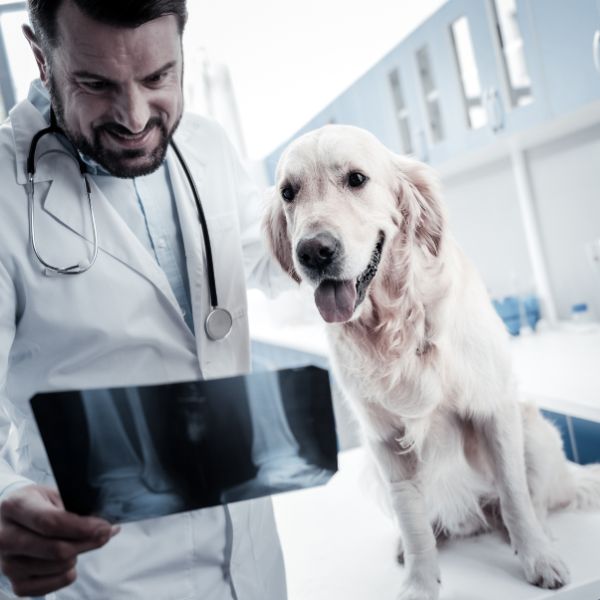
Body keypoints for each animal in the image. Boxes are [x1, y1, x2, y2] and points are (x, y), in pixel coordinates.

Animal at [264, 123, 600, 600]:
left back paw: (531, 535)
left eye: (356, 179)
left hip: (534, 430)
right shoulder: (384, 440)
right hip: (370, 467)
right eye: (289, 192)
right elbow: (414, 521)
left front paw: (538, 558)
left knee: (531, 499)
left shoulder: (493, 409)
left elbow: (515, 496)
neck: (397, 326)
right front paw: (420, 582)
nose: (313, 252)